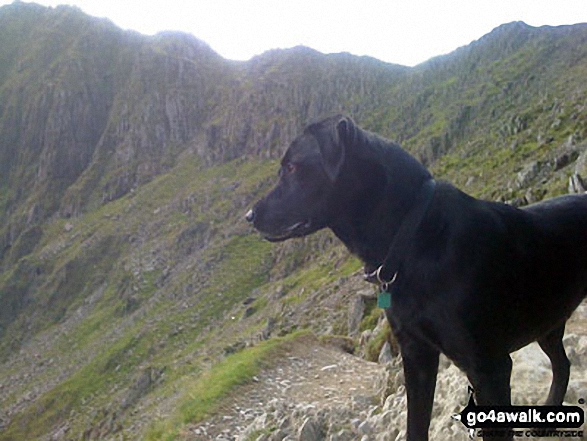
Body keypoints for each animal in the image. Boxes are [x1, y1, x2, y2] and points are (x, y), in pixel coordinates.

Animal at [245, 115, 587, 438]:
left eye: (292, 167)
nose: (249, 216)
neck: (412, 234)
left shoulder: (489, 367)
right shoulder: (415, 354)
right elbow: (415, 425)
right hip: (547, 322)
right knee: (563, 363)